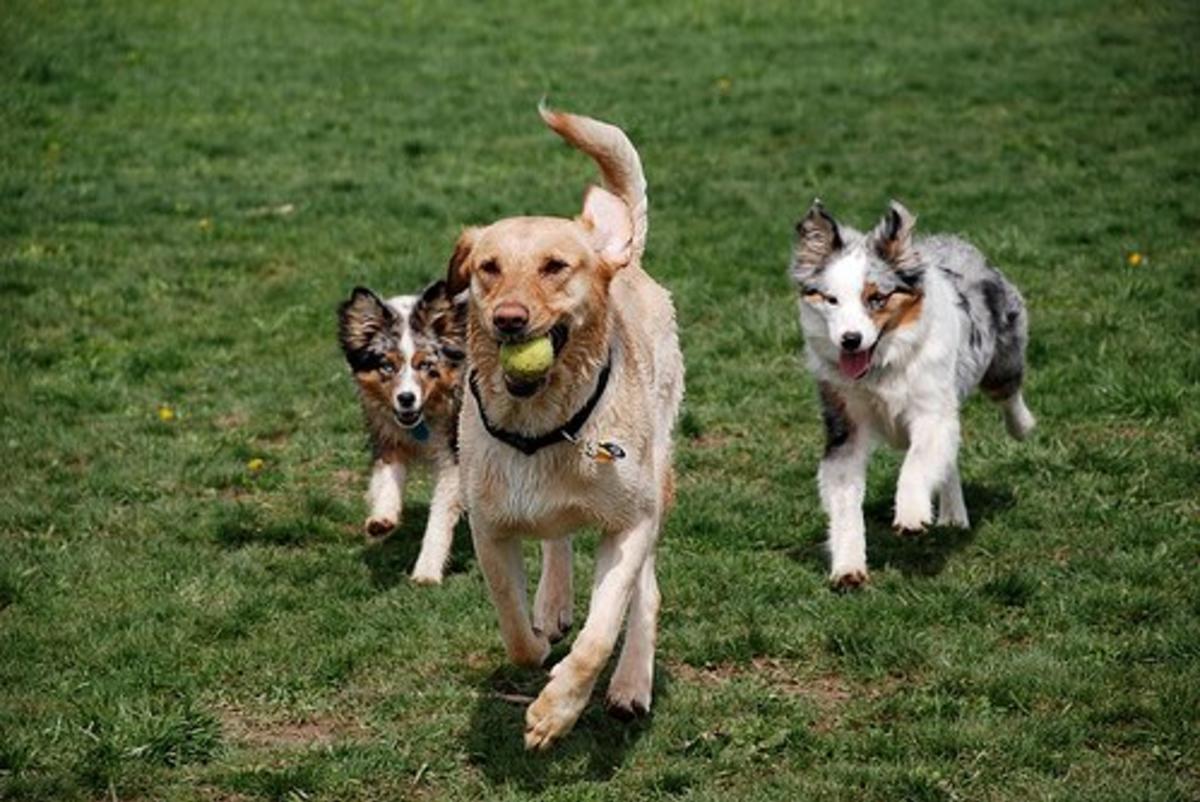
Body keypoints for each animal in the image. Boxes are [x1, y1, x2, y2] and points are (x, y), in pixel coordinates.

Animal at [444, 108, 686, 753]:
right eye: (488, 269)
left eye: (556, 267)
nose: (508, 320)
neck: (543, 430)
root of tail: (627, 256)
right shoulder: (489, 527)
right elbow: (513, 628)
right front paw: (538, 644)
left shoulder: (630, 525)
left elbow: (601, 632)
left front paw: (557, 710)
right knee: (556, 540)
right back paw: (552, 602)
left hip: (658, 478)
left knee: (645, 595)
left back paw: (630, 684)